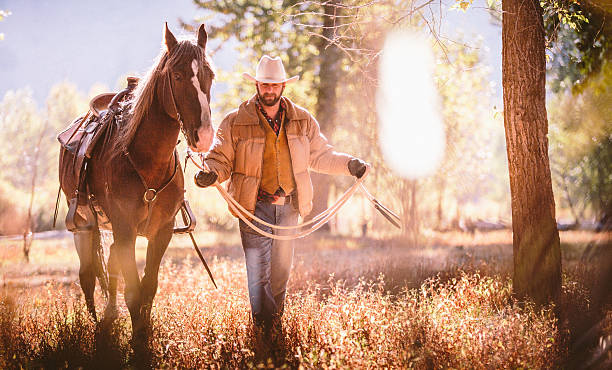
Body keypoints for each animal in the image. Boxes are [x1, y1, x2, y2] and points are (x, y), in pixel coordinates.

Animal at [58, 23, 215, 342]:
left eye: (210, 75)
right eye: (177, 75)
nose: (204, 136)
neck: (145, 161)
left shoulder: (162, 232)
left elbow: (148, 286)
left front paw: (145, 329)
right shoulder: (125, 229)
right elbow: (132, 289)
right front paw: (139, 340)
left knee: (109, 266)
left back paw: (109, 314)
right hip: (84, 226)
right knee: (88, 275)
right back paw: (97, 321)